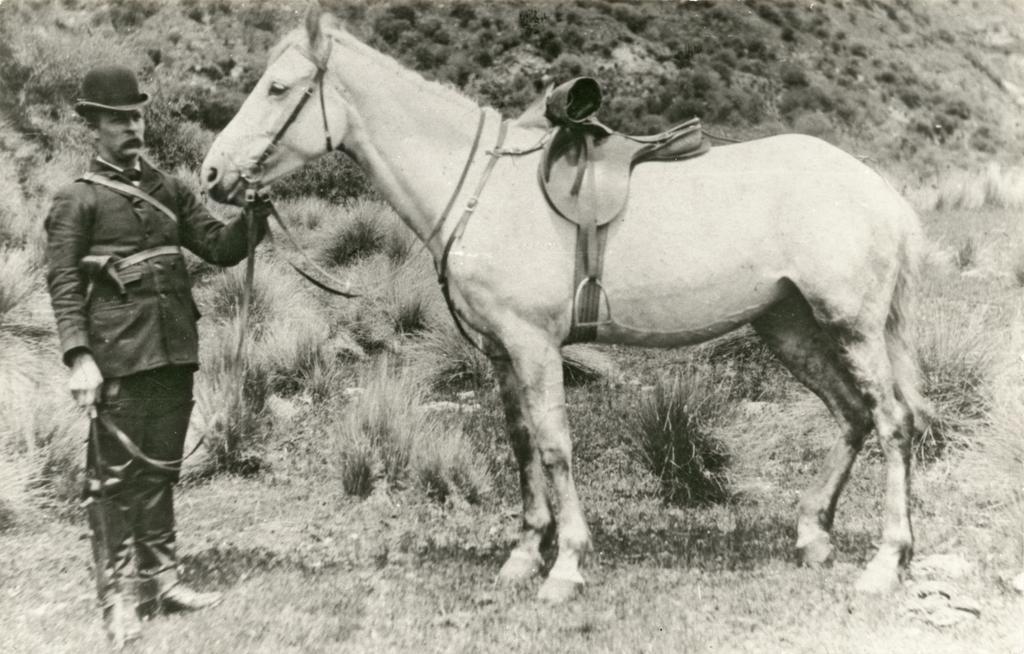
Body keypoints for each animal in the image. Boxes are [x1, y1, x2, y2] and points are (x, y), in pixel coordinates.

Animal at [201, 10, 930, 603]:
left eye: (278, 87)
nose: (212, 173)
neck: (482, 187)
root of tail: (878, 190)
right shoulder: (501, 352)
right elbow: (523, 446)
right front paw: (526, 555)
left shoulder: (534, 345)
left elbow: (554, 447)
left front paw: (567, 565)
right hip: (789, 325)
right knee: (852, 416)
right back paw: (813, 535)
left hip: (849, 325)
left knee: (892, 422)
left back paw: (886, 561)